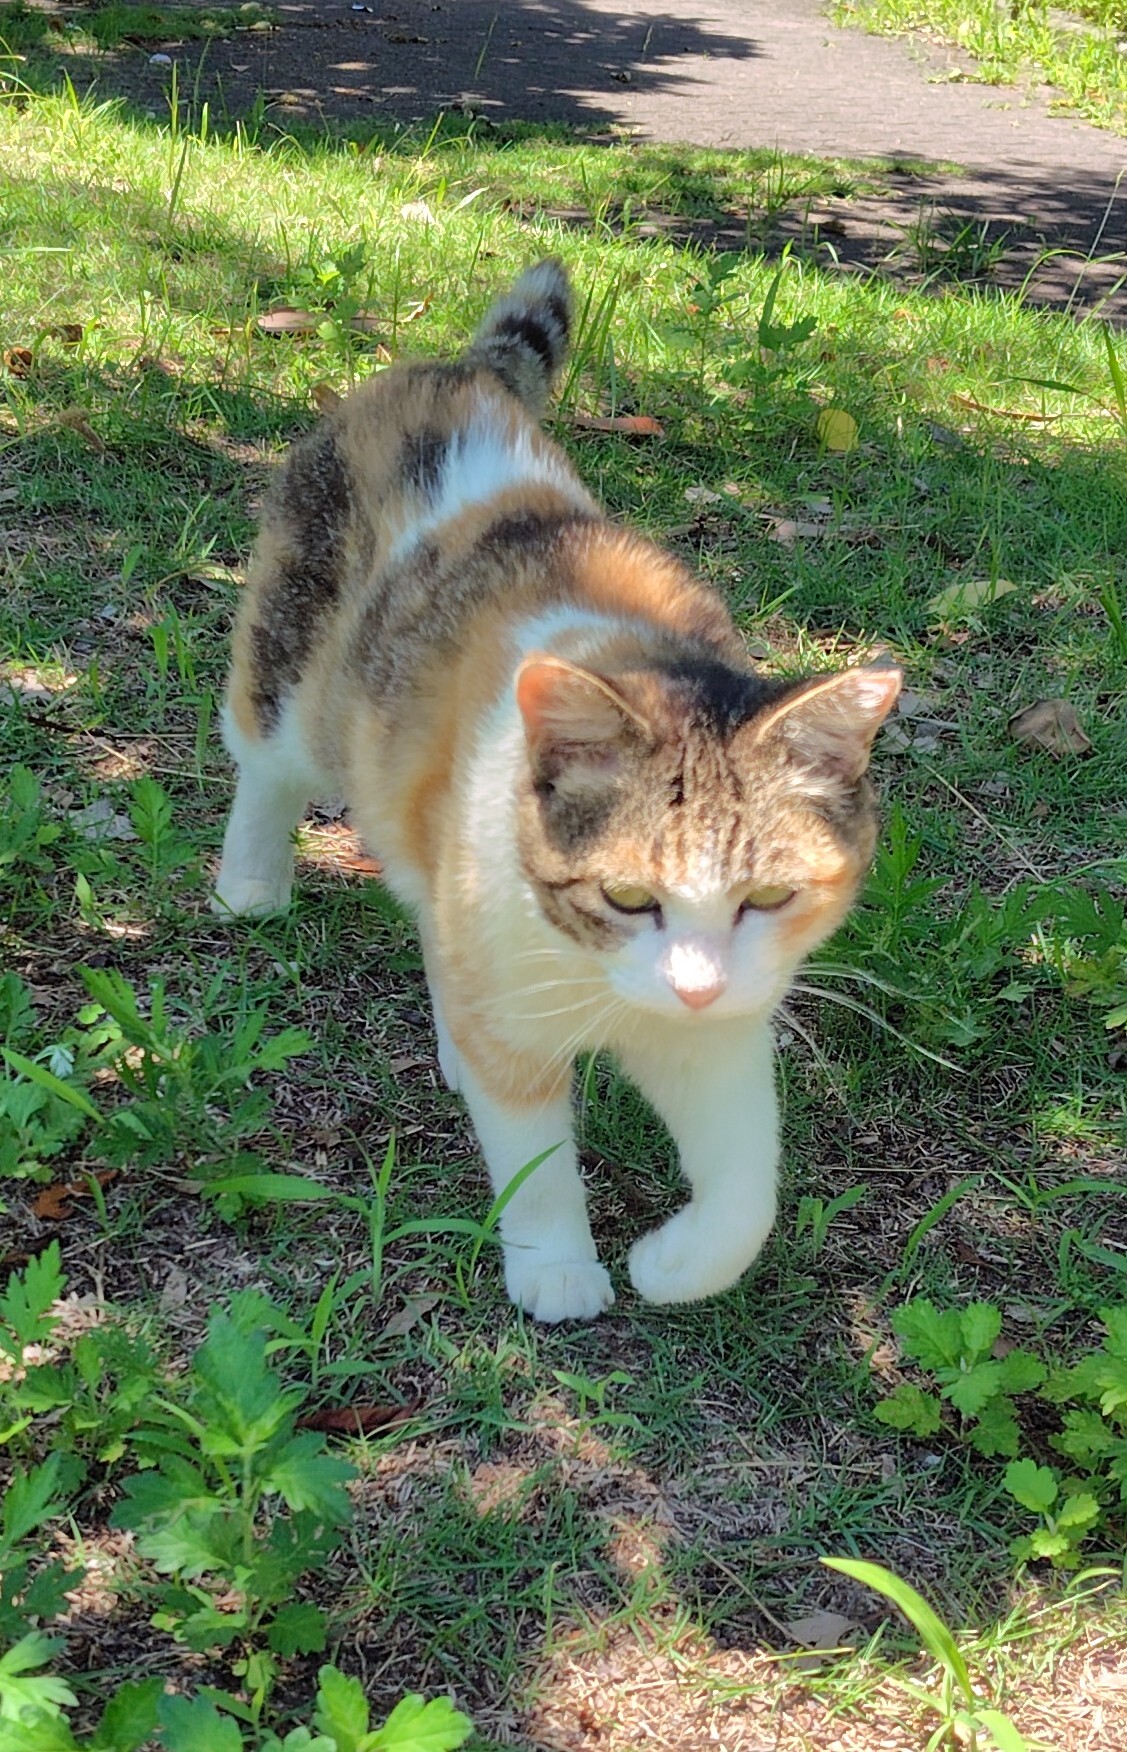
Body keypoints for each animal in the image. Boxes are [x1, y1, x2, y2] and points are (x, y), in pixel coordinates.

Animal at [213, 257, 901, 1324]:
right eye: (624, 893)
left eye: (767, 896)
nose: (693, 986)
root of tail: (460, 372)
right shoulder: (519, 994)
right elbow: (535, 1157)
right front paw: (557, 1267)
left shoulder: (716, 1034)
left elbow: (748, 1186)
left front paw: (676, 1264)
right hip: (298, 663)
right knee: (265, 755)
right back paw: (249, 884)